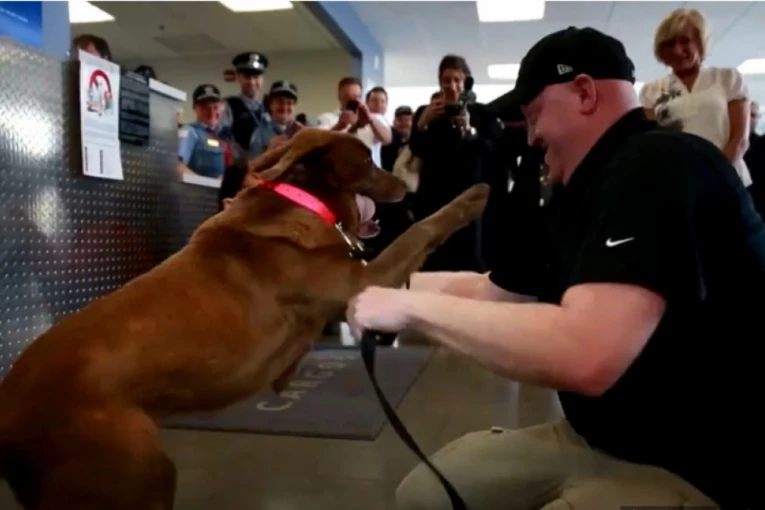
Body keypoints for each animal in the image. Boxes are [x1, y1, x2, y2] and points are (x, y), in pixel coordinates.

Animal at [0, 128, 490, 510]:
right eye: (368, 160)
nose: (406, 187)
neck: (303, 203)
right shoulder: (367, 279)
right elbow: (420, 230)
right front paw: (471, 198)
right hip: (136, 473)